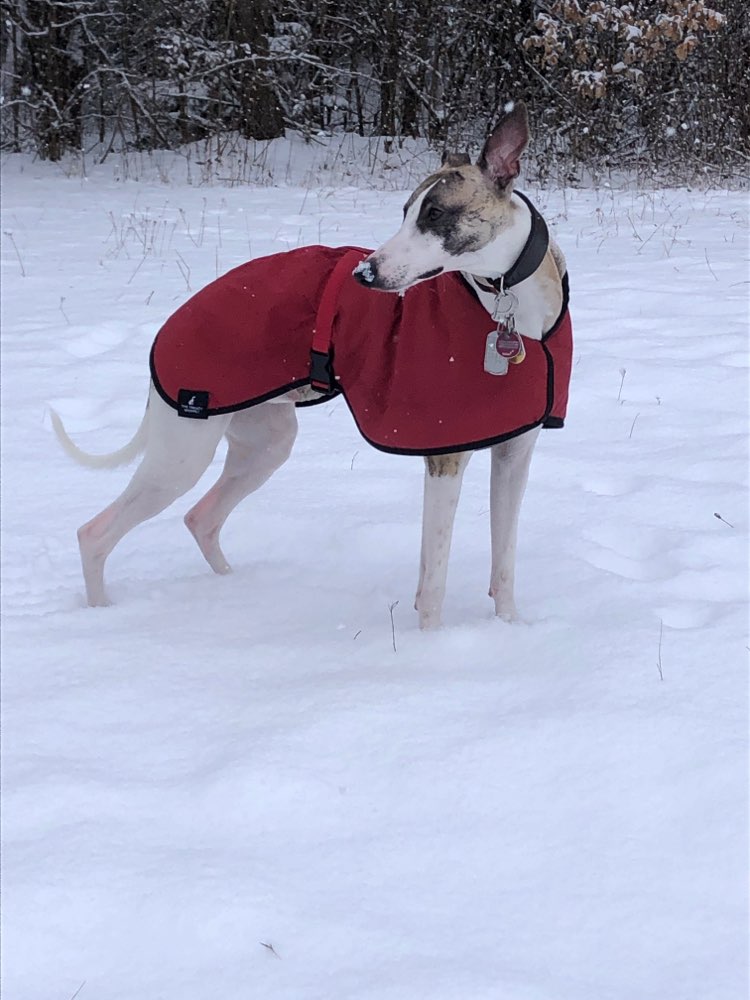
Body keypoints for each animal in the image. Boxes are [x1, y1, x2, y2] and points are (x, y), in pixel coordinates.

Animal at [54, 103, 568, 632]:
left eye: (435, 213)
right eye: (405, 212)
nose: (365, 273)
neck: (510, 308)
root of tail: (167, 328)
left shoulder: (514, 455)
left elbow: (503, 560)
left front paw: (509, 627)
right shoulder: (445, 457)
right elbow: (434, 580)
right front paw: (431, 645)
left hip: (265, 442)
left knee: (201, 518)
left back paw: (228, 587)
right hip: (181, 453)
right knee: (95, 533)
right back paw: (102, 612)